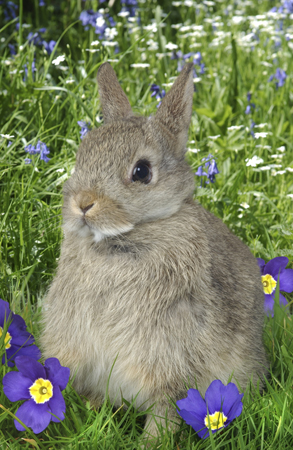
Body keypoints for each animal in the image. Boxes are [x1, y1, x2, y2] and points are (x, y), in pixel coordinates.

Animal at [41, 61, 266, 438]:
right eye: (82, 155)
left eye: (142, 171)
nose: (83, 203)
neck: (126, 236)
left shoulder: (168, 356)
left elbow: (166, 407)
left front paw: (152, 442)